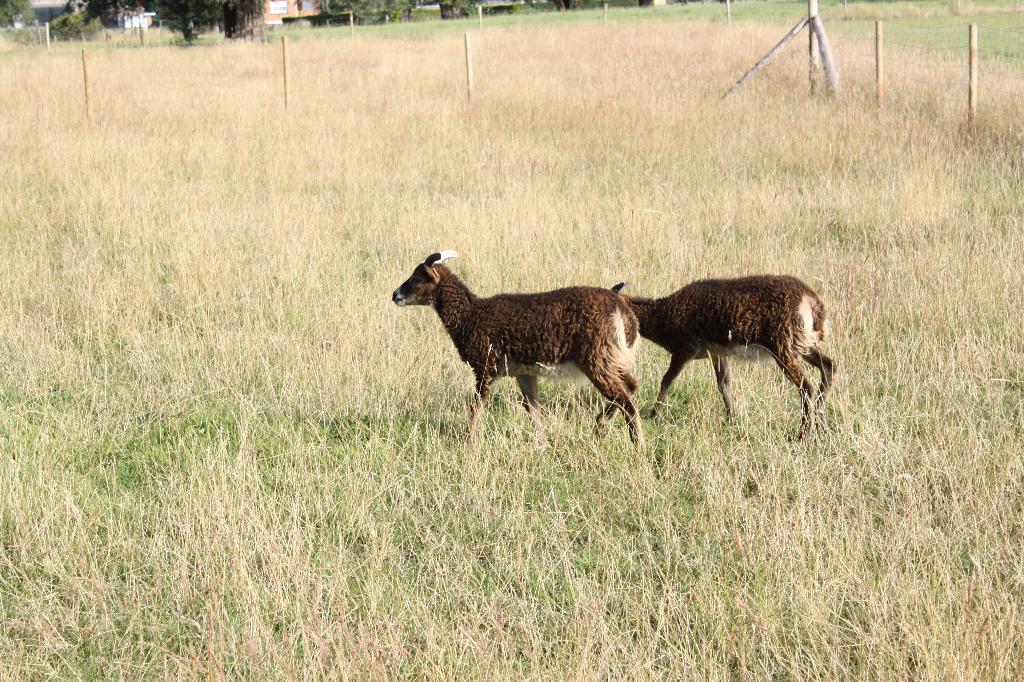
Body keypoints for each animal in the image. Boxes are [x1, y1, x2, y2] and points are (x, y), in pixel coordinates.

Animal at [393, 251, 645, 445]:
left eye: (417, 278)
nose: (395, 295)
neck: (471, 315)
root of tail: (624, 314)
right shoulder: (524, 372)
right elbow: (532, 409)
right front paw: (542, 444)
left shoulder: (485, 367)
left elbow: (476, 406)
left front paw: (469, 441)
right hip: (614, 358)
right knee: (630, 388)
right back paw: (600, 425)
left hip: (597, 359)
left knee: (625, 400)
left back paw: (637, 443)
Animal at [611, 276, 835, 440]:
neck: (663, 317)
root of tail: (812, 302)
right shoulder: (719, 353)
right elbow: (724, 384)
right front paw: (732, 418)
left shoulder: (685, 349)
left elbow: (667, 380)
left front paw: (654, 415)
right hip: (804, 344)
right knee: (828, 366)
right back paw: (823, 427)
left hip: (783, 347)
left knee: (806, 386)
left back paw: (803, 434)